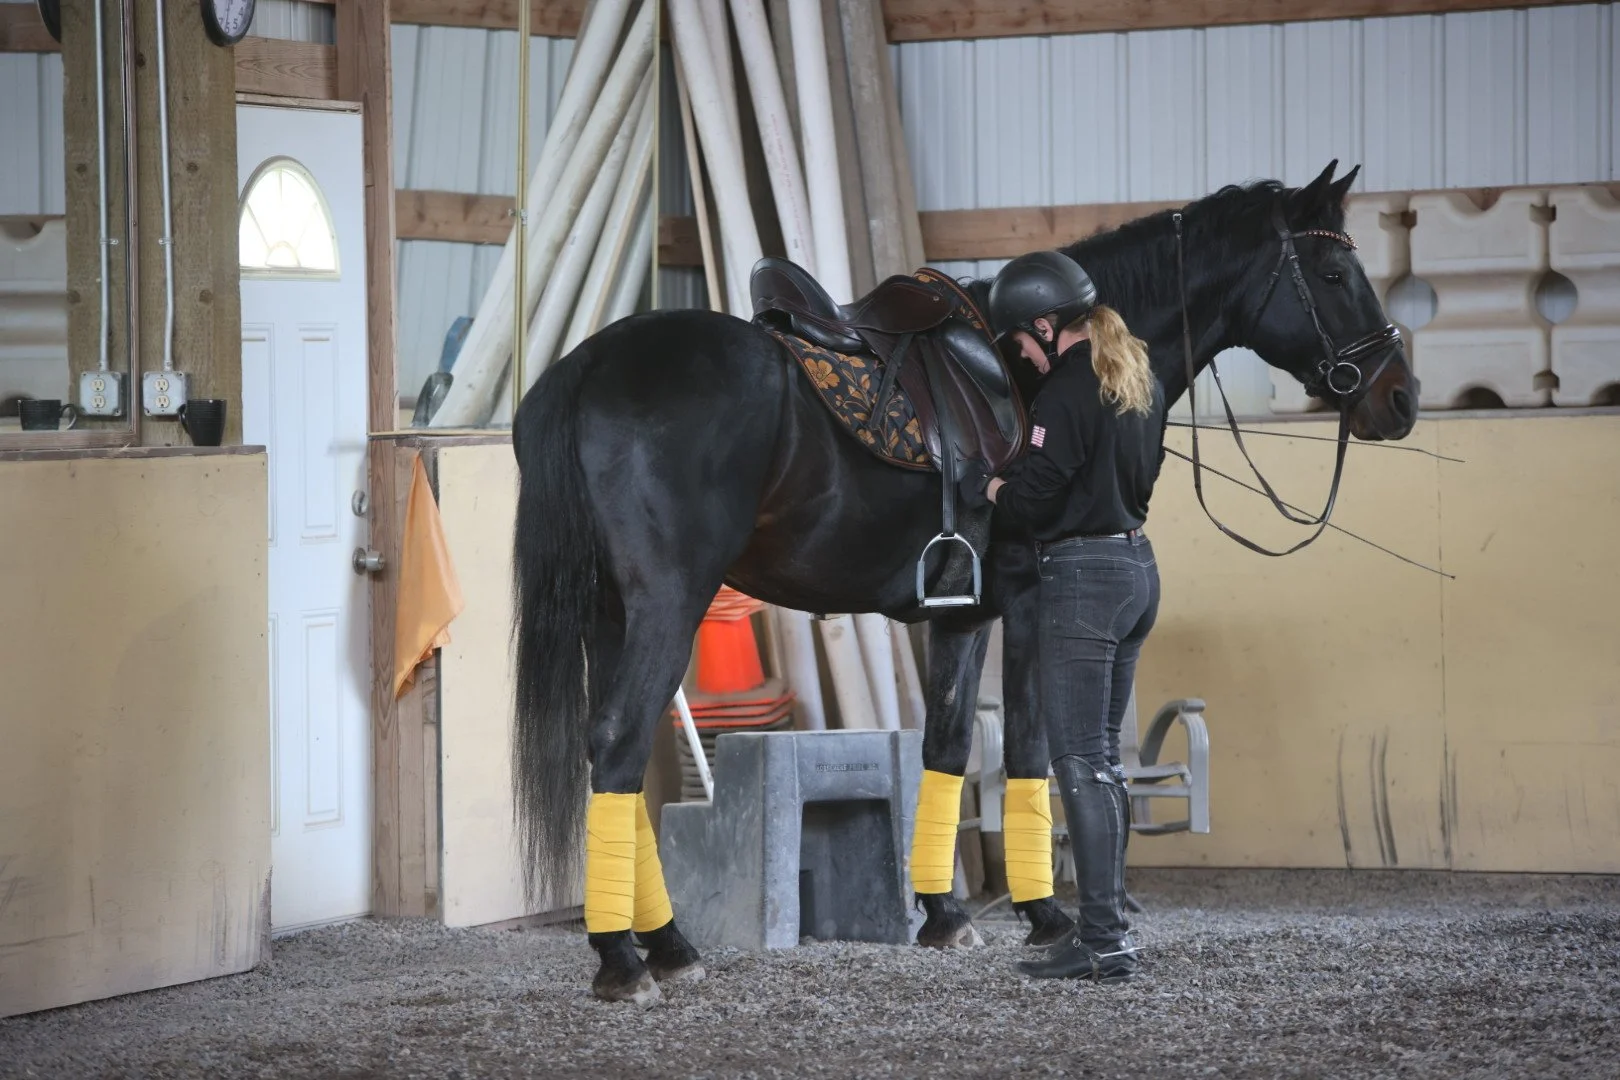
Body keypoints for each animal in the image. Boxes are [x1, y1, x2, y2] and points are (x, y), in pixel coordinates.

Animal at [509, 159, 1418, 1003]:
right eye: (1334, 275)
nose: (1400, 398)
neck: (1027, 373)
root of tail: (588, 366)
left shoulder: (961, 613)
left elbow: (945, 746)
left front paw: (942, 914)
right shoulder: (1029, 603)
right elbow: (1029, 752)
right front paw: (1046, 916)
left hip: (611, 613)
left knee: (615, 756)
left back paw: (667, 943)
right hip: (668, 603)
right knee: (618, 746)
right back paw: (625, 959)